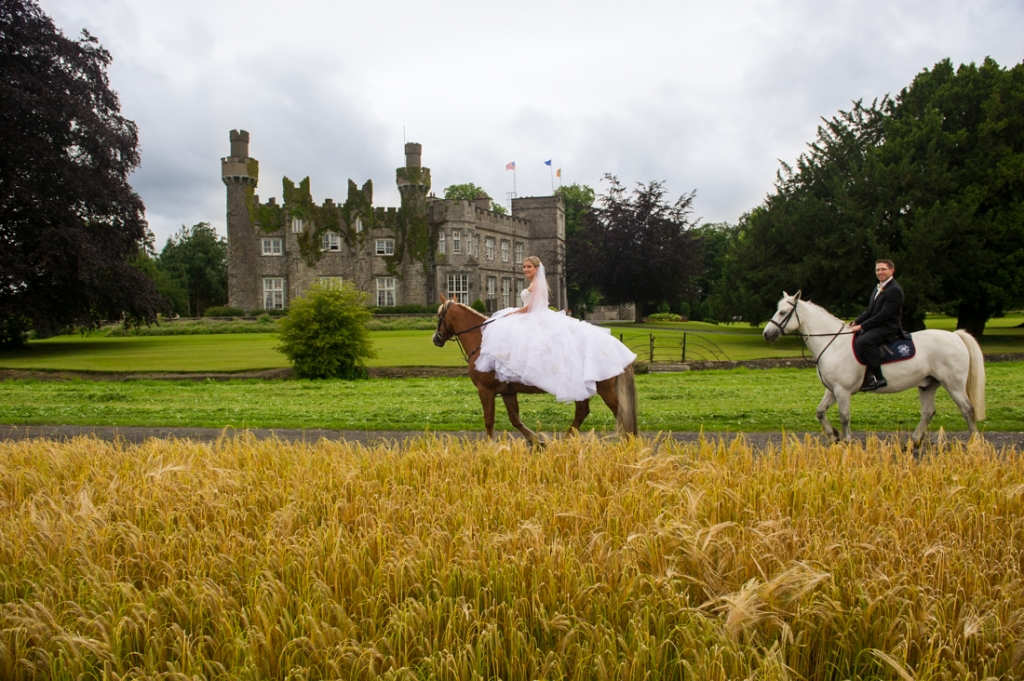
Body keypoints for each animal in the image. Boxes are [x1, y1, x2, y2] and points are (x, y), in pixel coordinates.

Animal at [434, 294, 638, 444]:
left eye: (438, 316)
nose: (436, 338)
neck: (482, 338)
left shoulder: (486, 390)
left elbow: (489, 420)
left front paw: (490, 447)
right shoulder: (507, 391)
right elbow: (515, 419)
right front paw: (535, 440)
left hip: (605, 388)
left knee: (619, 413)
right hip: (581, 388)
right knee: (583, 412)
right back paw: (565, 441)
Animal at [761, 288, 983, 444]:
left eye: (783, 312)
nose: (766, 333)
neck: (833, 343)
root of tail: (955, 336)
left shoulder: (842, 391)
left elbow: (844, 417)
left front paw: (847, 441)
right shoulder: (832, 389)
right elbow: (820, 412)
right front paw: (833, 436)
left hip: (953, 384)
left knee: (967, 409)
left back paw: (973, 443)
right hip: (928, 384)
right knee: (928, 412)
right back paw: (912, 443)